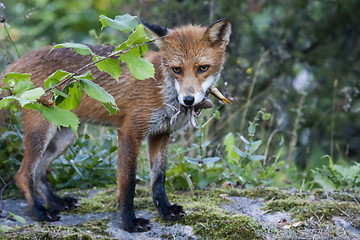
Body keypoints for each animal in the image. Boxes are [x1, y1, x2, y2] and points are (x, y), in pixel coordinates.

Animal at [0, 18, 231, 232]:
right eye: (177, 69)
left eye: (203, 68)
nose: (188, 100)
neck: (163, 88)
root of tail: (18, 63)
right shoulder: (130, 132)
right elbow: (128, 183)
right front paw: (130, 223)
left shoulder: (161, 133)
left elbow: (158, 179)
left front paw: (165, 211)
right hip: (42, 132)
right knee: (23, 175)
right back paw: (39, 212)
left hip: (64, 137)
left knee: (39, 172)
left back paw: (56, 202)